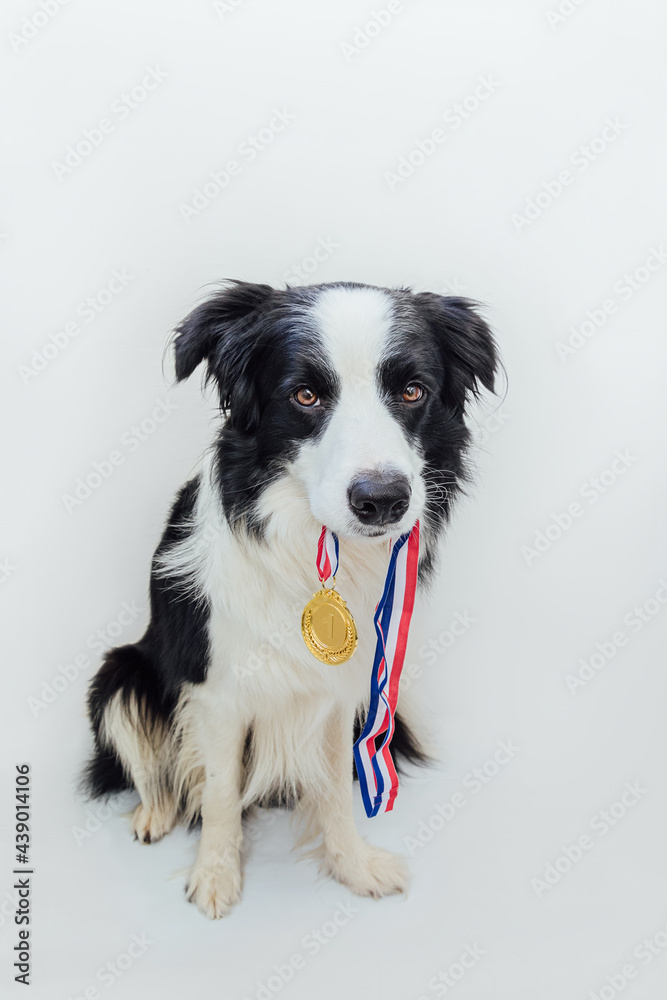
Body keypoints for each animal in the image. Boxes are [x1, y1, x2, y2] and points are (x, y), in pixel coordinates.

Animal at [83, 278, 496, 916]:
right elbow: (220, 794)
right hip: (120, 674)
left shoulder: (342, 689)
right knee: (152, 767)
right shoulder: (217, 692)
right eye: (305, 395)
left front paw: (352, 866)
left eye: (412, 391)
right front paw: (215, 878)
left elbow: (337, 792)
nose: (383, 500)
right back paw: (154, 813)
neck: (315, 551)